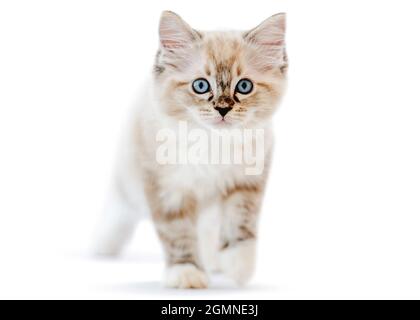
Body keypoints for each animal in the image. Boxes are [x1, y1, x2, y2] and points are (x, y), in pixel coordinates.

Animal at [93, 11, 288, 288]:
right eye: (201, 86)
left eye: (244, 86)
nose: (223, 109)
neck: (212, 142)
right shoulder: (168, 190)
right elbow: (178, 234)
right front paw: (186, 273)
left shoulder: (246, 183)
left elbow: (240, 222)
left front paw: (238, 267)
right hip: (128, 184)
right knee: (119, 209)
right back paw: (102, 245)